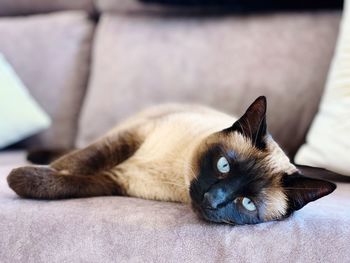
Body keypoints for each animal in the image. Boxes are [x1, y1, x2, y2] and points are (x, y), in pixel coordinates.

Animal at [6, 97, 334, 227]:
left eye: (247, 203)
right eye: (223, 165)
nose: (212, 199)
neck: (177, 173)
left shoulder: (116, 181)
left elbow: (66, 184)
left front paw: (21, 179)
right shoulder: (132, 136)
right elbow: (79, 161)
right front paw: (28, 173)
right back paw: (35, 155)